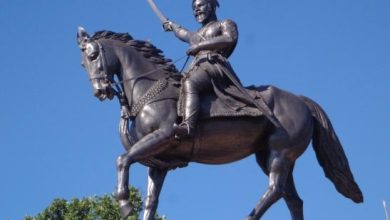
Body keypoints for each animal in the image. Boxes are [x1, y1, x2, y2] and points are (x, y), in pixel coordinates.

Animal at [76, 27, 362, 220]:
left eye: (93, 55)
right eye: (82, 62)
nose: (101, 91)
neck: (149, 89)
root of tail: (302, 101)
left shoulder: (164, 135)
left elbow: (121, 160)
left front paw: (125, 205)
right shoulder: (159, 164)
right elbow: (151, 202)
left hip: (279, 153)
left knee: (275, 190)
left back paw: (248, 217)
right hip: (272, 156)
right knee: (292, 199)